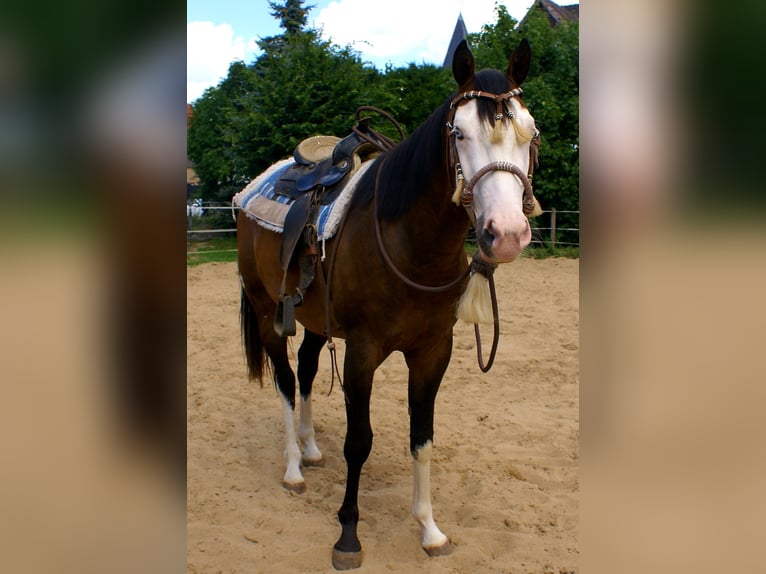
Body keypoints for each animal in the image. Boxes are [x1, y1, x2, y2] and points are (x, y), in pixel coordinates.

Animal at [235, 39, 541, 570]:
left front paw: (430, 530)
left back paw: (311, 448)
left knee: (308, 370)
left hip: (313, 321)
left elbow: (423, 439)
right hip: (265, 308)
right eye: (459, 133)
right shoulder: (363, 353)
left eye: (531, 132)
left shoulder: (432, 352)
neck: (408, 245)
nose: (506, 234)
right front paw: (348, 536)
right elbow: (359, 442)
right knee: (286, 381)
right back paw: (294, 467)